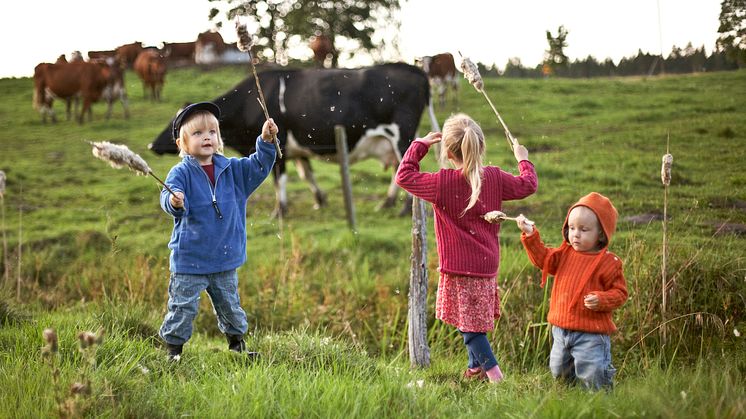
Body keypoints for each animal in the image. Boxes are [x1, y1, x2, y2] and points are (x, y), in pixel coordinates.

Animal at [148, 64, 430, 218]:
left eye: (175, 127)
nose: (152, 145)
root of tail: (410, 67)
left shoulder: (279, 141)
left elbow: (279, 178)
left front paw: (279, 210)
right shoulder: (298, 150)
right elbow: (306, 175)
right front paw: (320, 200)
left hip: (402, 136)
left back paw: (404, 209)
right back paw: (387, 203)